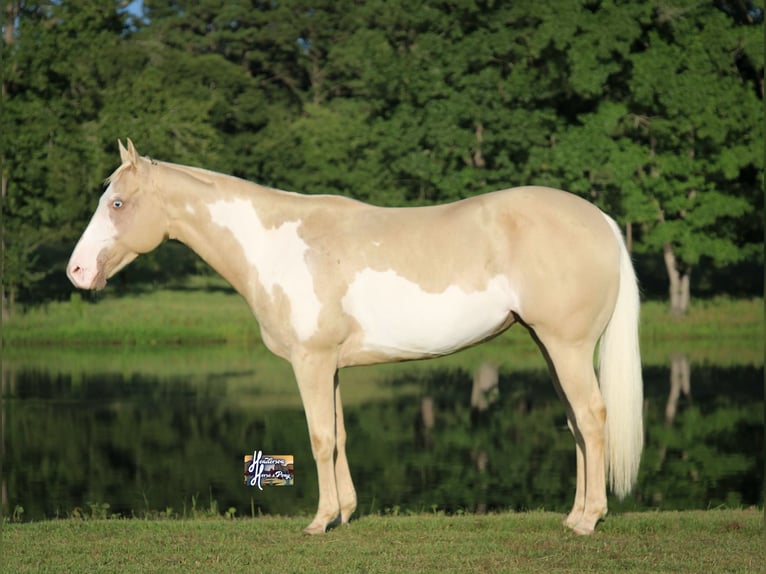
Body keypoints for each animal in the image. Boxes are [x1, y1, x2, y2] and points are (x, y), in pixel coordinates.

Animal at [67, 140, 643, 535]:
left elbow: (320, 439)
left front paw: (319, 521)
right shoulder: (332, 366)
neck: (275, 247)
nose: (76, 271)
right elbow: (340, 435)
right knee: (576, 424)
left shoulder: (311, 362)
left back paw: (588, 520)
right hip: (551, 347)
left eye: (116, 204)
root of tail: (601, 220)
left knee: (591, 419)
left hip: (567, 348)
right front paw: (344, 513)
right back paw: (573, 516)